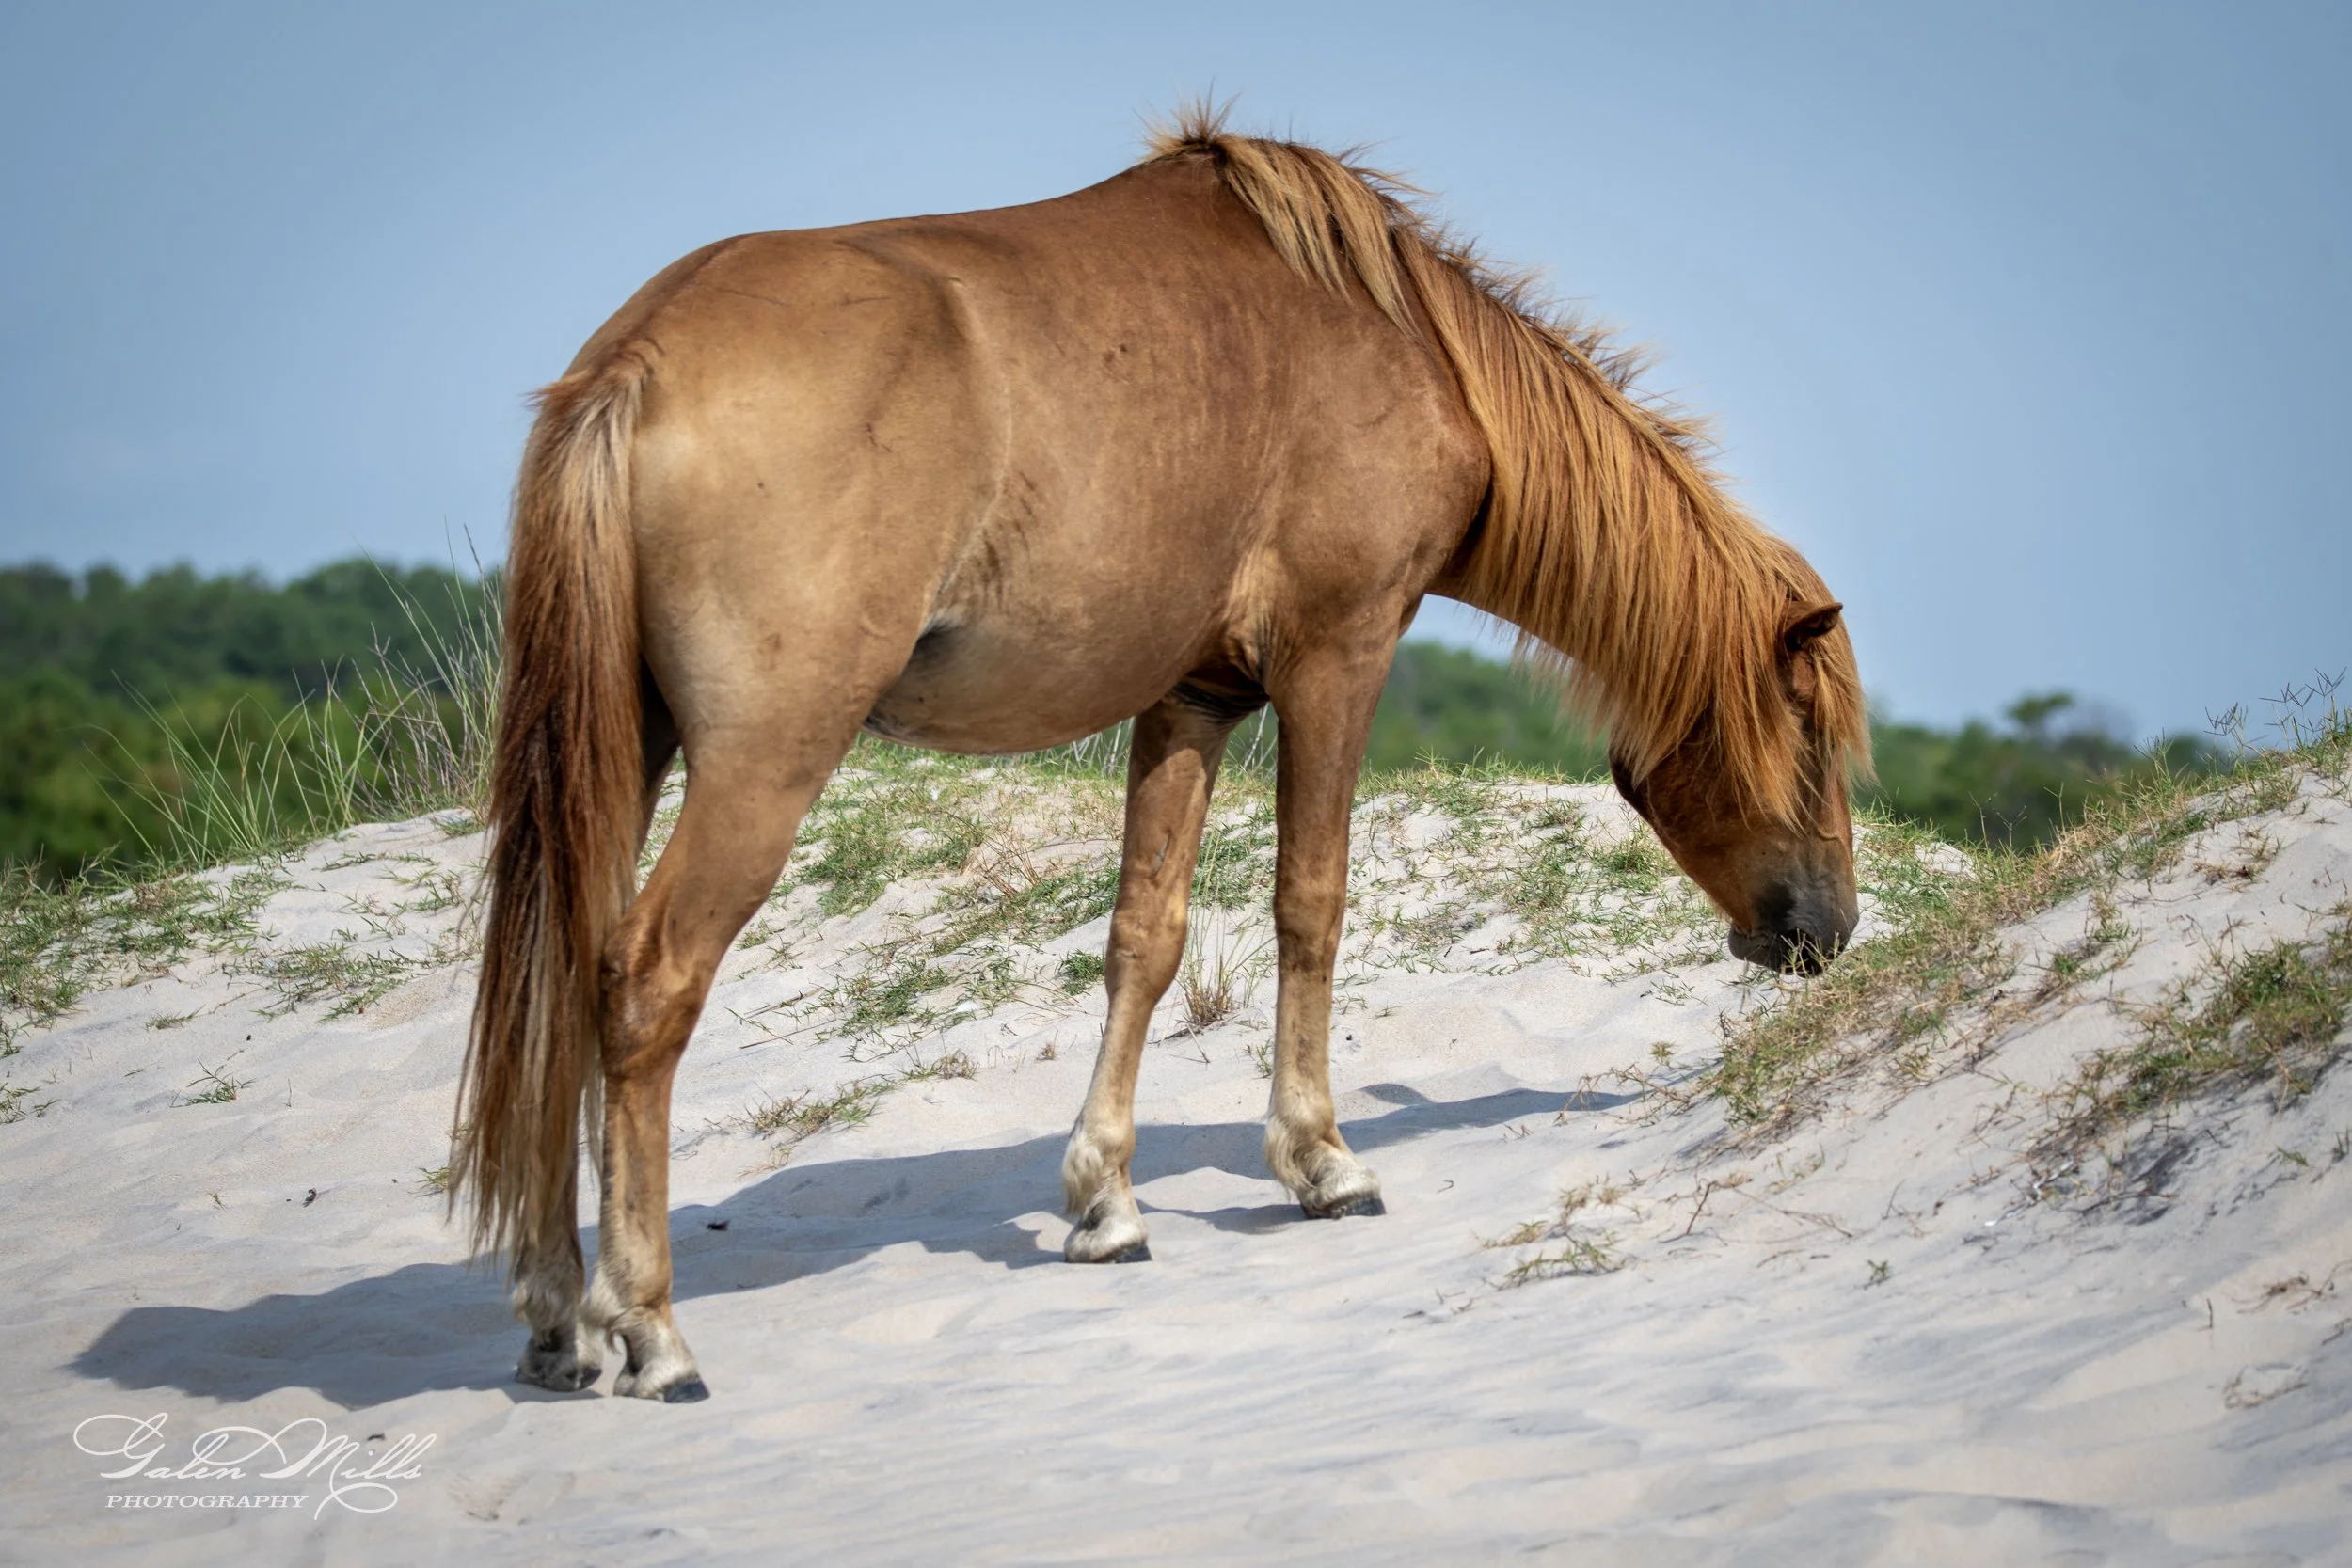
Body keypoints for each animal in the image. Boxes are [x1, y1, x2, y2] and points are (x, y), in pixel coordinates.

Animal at [450, 109, 1871, 1403]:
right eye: (1810, 739)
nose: (1829, 930)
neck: (1402, 343)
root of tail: (635, 364)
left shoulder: (1194, 697)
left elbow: (1146, 932)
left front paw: (1106, 1201)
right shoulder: (1336, 657)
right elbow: (1312, 902)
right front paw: (1320, 1159)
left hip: (624, 750)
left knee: (559, 982)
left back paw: (558, 1319)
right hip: (762, 765)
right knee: (643, 985)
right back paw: (649, 1328)